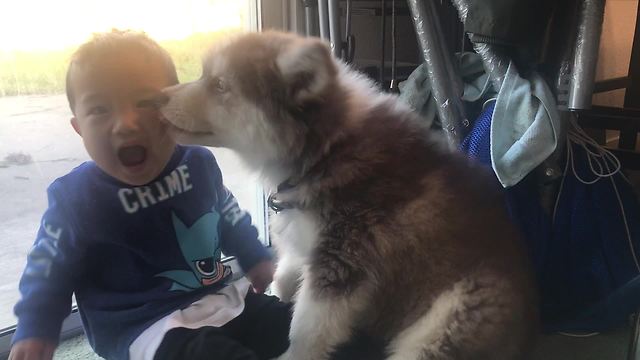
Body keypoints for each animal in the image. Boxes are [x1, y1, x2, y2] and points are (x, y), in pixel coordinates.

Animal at [159, 31, 536, 360]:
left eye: (220, 85)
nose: (157, 97)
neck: (325, 151)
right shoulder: (305, 243)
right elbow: (285, 276)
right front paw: (279, 289)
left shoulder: (342, 263)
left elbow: (306, 329)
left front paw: (292, 353)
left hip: (444, 324)